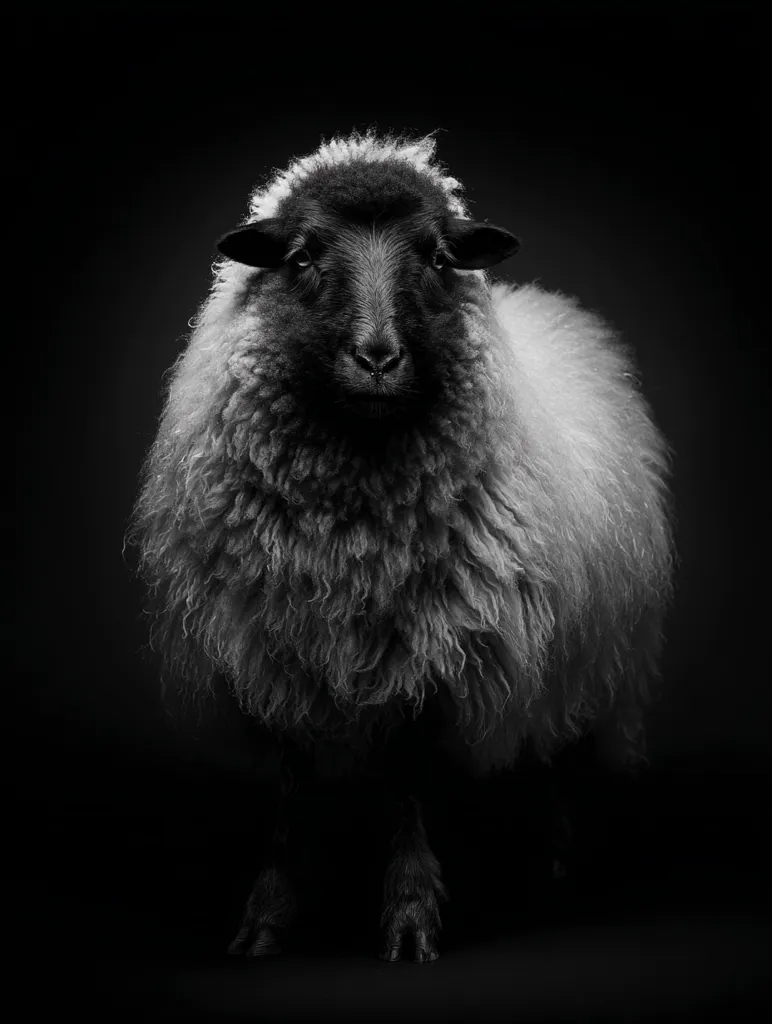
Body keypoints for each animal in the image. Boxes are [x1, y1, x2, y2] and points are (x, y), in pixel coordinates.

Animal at [127, 130, 675, 963]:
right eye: (303, 256)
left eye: (438, 258)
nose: (378, 357)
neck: (353, 532)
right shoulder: (272, 653)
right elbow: (290, 794)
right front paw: (267, 916)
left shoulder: (433, 656)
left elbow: (410, 787)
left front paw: (412, 913)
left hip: (590, 653)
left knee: (556, 754)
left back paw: (551, 859)